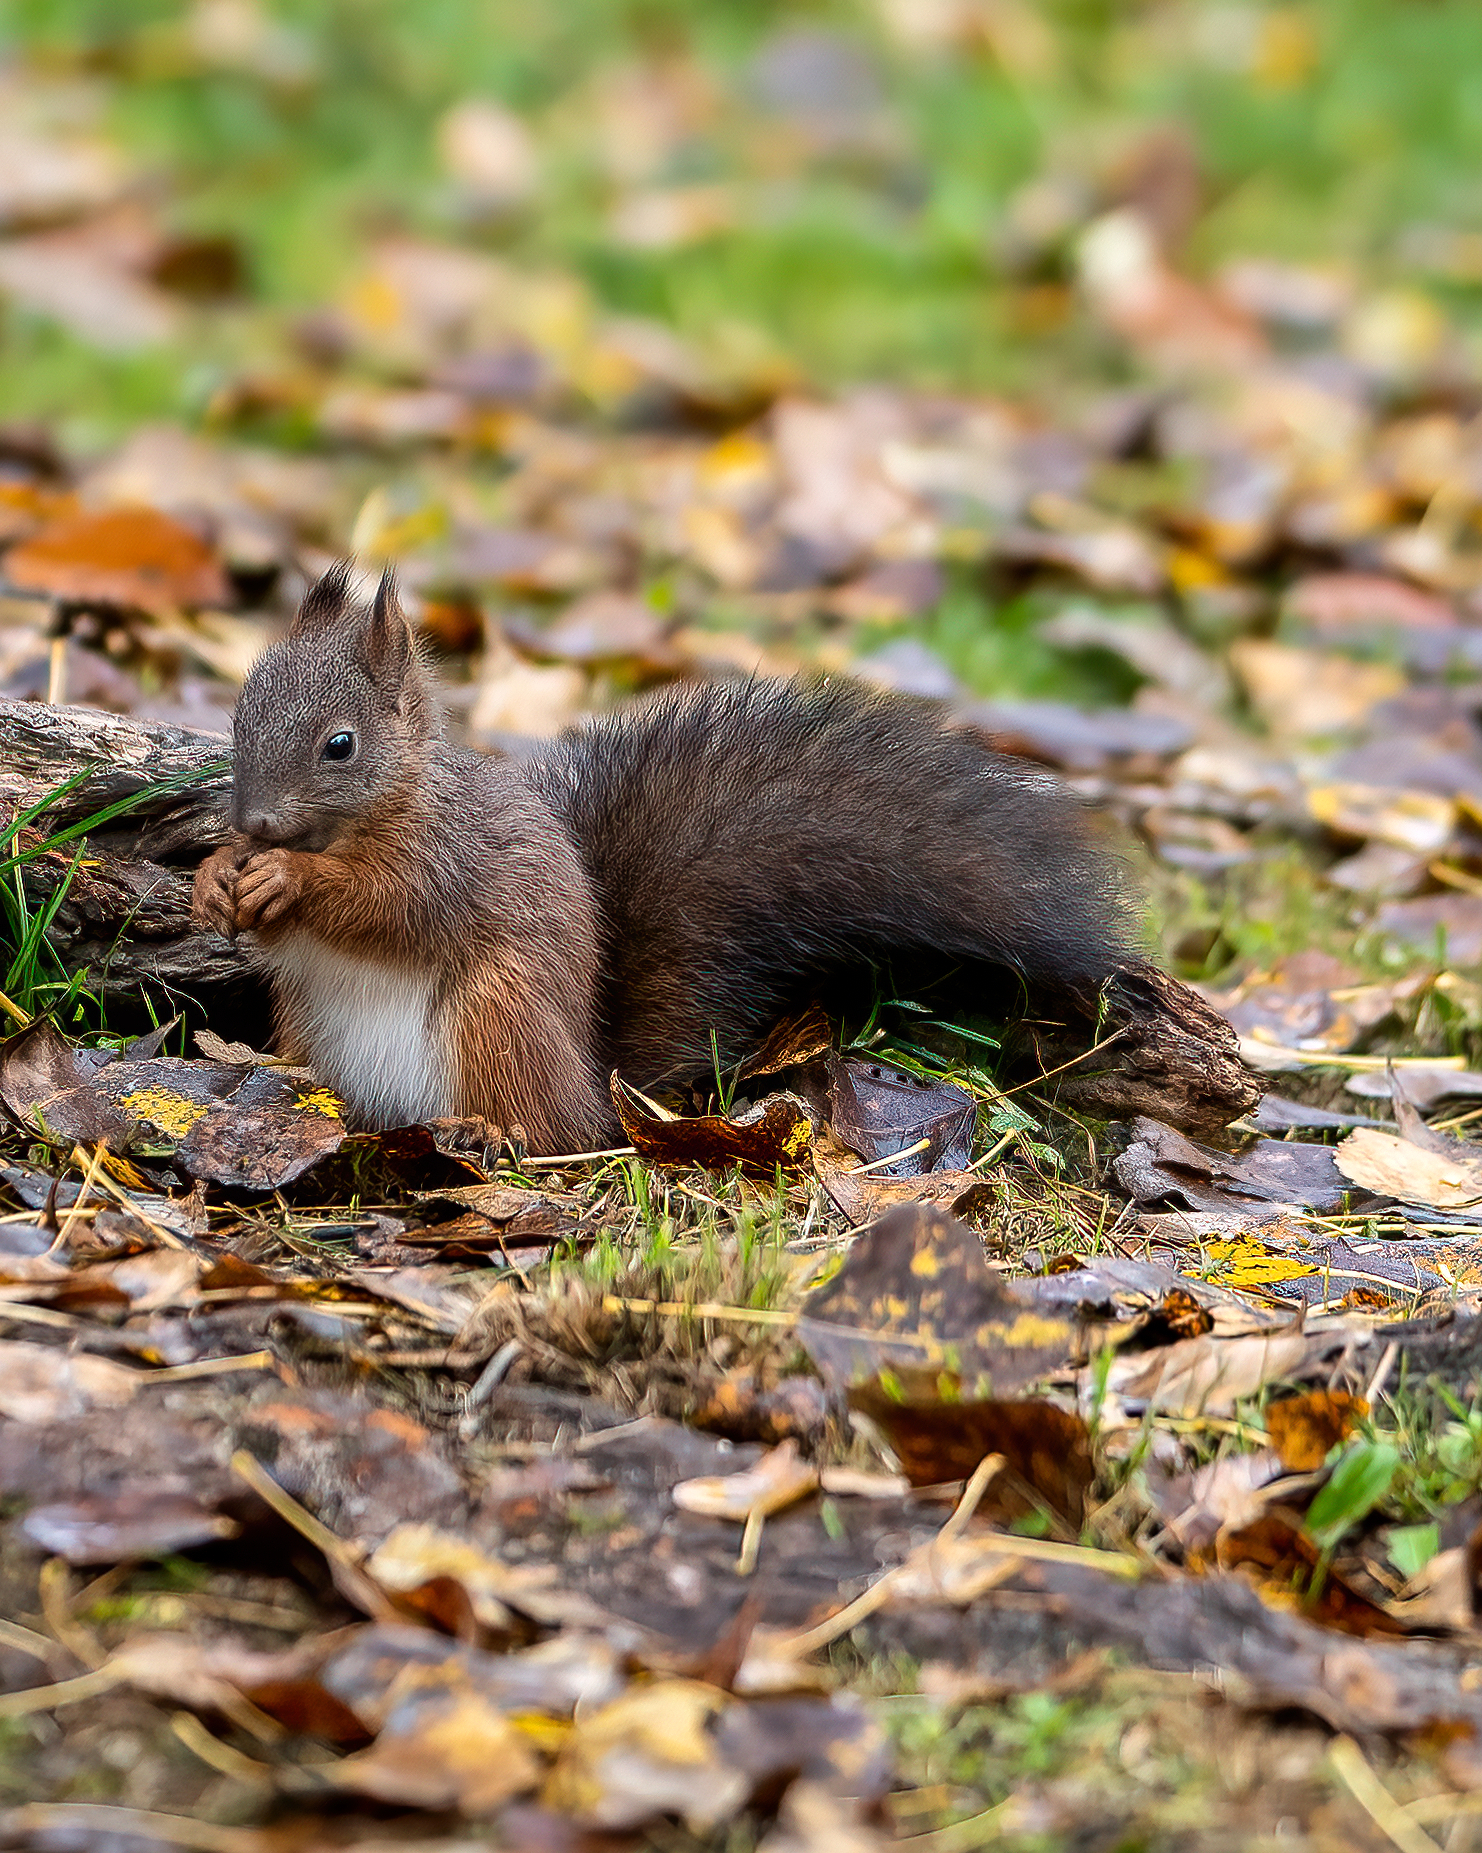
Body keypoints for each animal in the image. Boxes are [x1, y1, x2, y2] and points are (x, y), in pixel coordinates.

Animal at [192, 564, 1137, 1154]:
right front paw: (215, 876)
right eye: (240, 710)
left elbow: (385, 903)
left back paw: (494, 1130)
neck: (372, 812)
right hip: (312, 1016)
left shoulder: (444, 862)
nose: (252, 818)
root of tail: (590, 1081)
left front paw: (288, 876)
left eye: (340, 745)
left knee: (550, 1129)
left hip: (500, 1014)